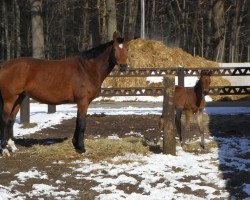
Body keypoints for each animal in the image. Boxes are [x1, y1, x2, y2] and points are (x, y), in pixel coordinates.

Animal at [0, 31, 128, 156]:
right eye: (115, 49)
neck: (86, 69)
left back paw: (12, 147)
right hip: (9, 99)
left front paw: (76, 144)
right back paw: (5, 150)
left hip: (19, 98)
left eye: (127, 49)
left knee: (11, 120)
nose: (123, 66)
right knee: (5, 120)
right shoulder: (83, 101)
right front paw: (81, 149)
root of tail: (4, 66)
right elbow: (82, 123)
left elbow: (78, 121)